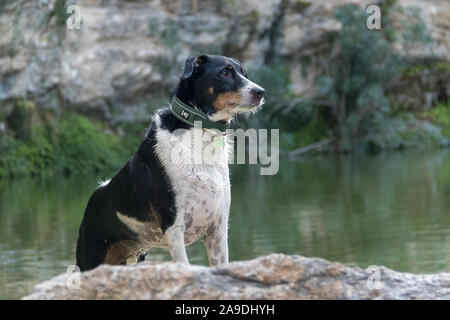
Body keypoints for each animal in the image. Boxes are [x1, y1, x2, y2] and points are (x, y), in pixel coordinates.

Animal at [75, 54, 266, 270]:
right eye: (225, 72)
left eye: (244, 73)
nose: (261, 92)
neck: (200, 134)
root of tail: (95, 195)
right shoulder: (174, 228)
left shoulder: (217, 230)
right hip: (90, 259)